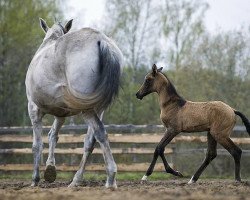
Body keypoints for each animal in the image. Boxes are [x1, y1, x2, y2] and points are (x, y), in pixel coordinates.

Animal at [24, 18, 122, 188]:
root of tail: (101, 40)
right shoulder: (61, 113)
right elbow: (53, 135)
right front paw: (50, 169)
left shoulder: (34, 109)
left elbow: (37, 144)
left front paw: (35, 180)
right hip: (98, 108)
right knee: (90, 141)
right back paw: (77, 180)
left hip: (87, 109)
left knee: (100, 133)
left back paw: (110, 177)